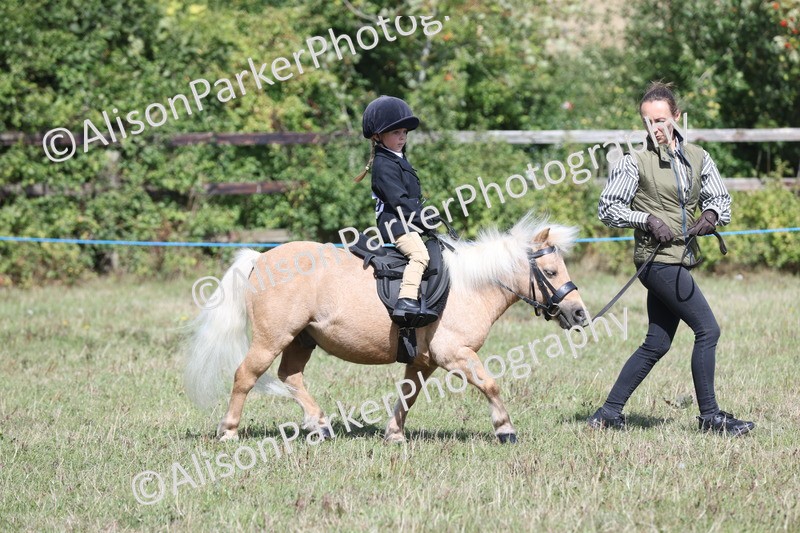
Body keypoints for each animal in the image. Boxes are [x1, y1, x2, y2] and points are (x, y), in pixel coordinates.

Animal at [184, 214, 589, 443]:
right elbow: (490, 384)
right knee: (246, 376)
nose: (580, 314)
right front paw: (505, 429)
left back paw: (320, 425)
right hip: (272, 339)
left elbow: (408, 394)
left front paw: (394, 434)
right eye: (551, 271)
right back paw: (229, 432)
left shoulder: (424, 361)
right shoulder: (454, 355)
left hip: (301, 339)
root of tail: (261, 258)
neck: (469, 286)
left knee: (291, 376)